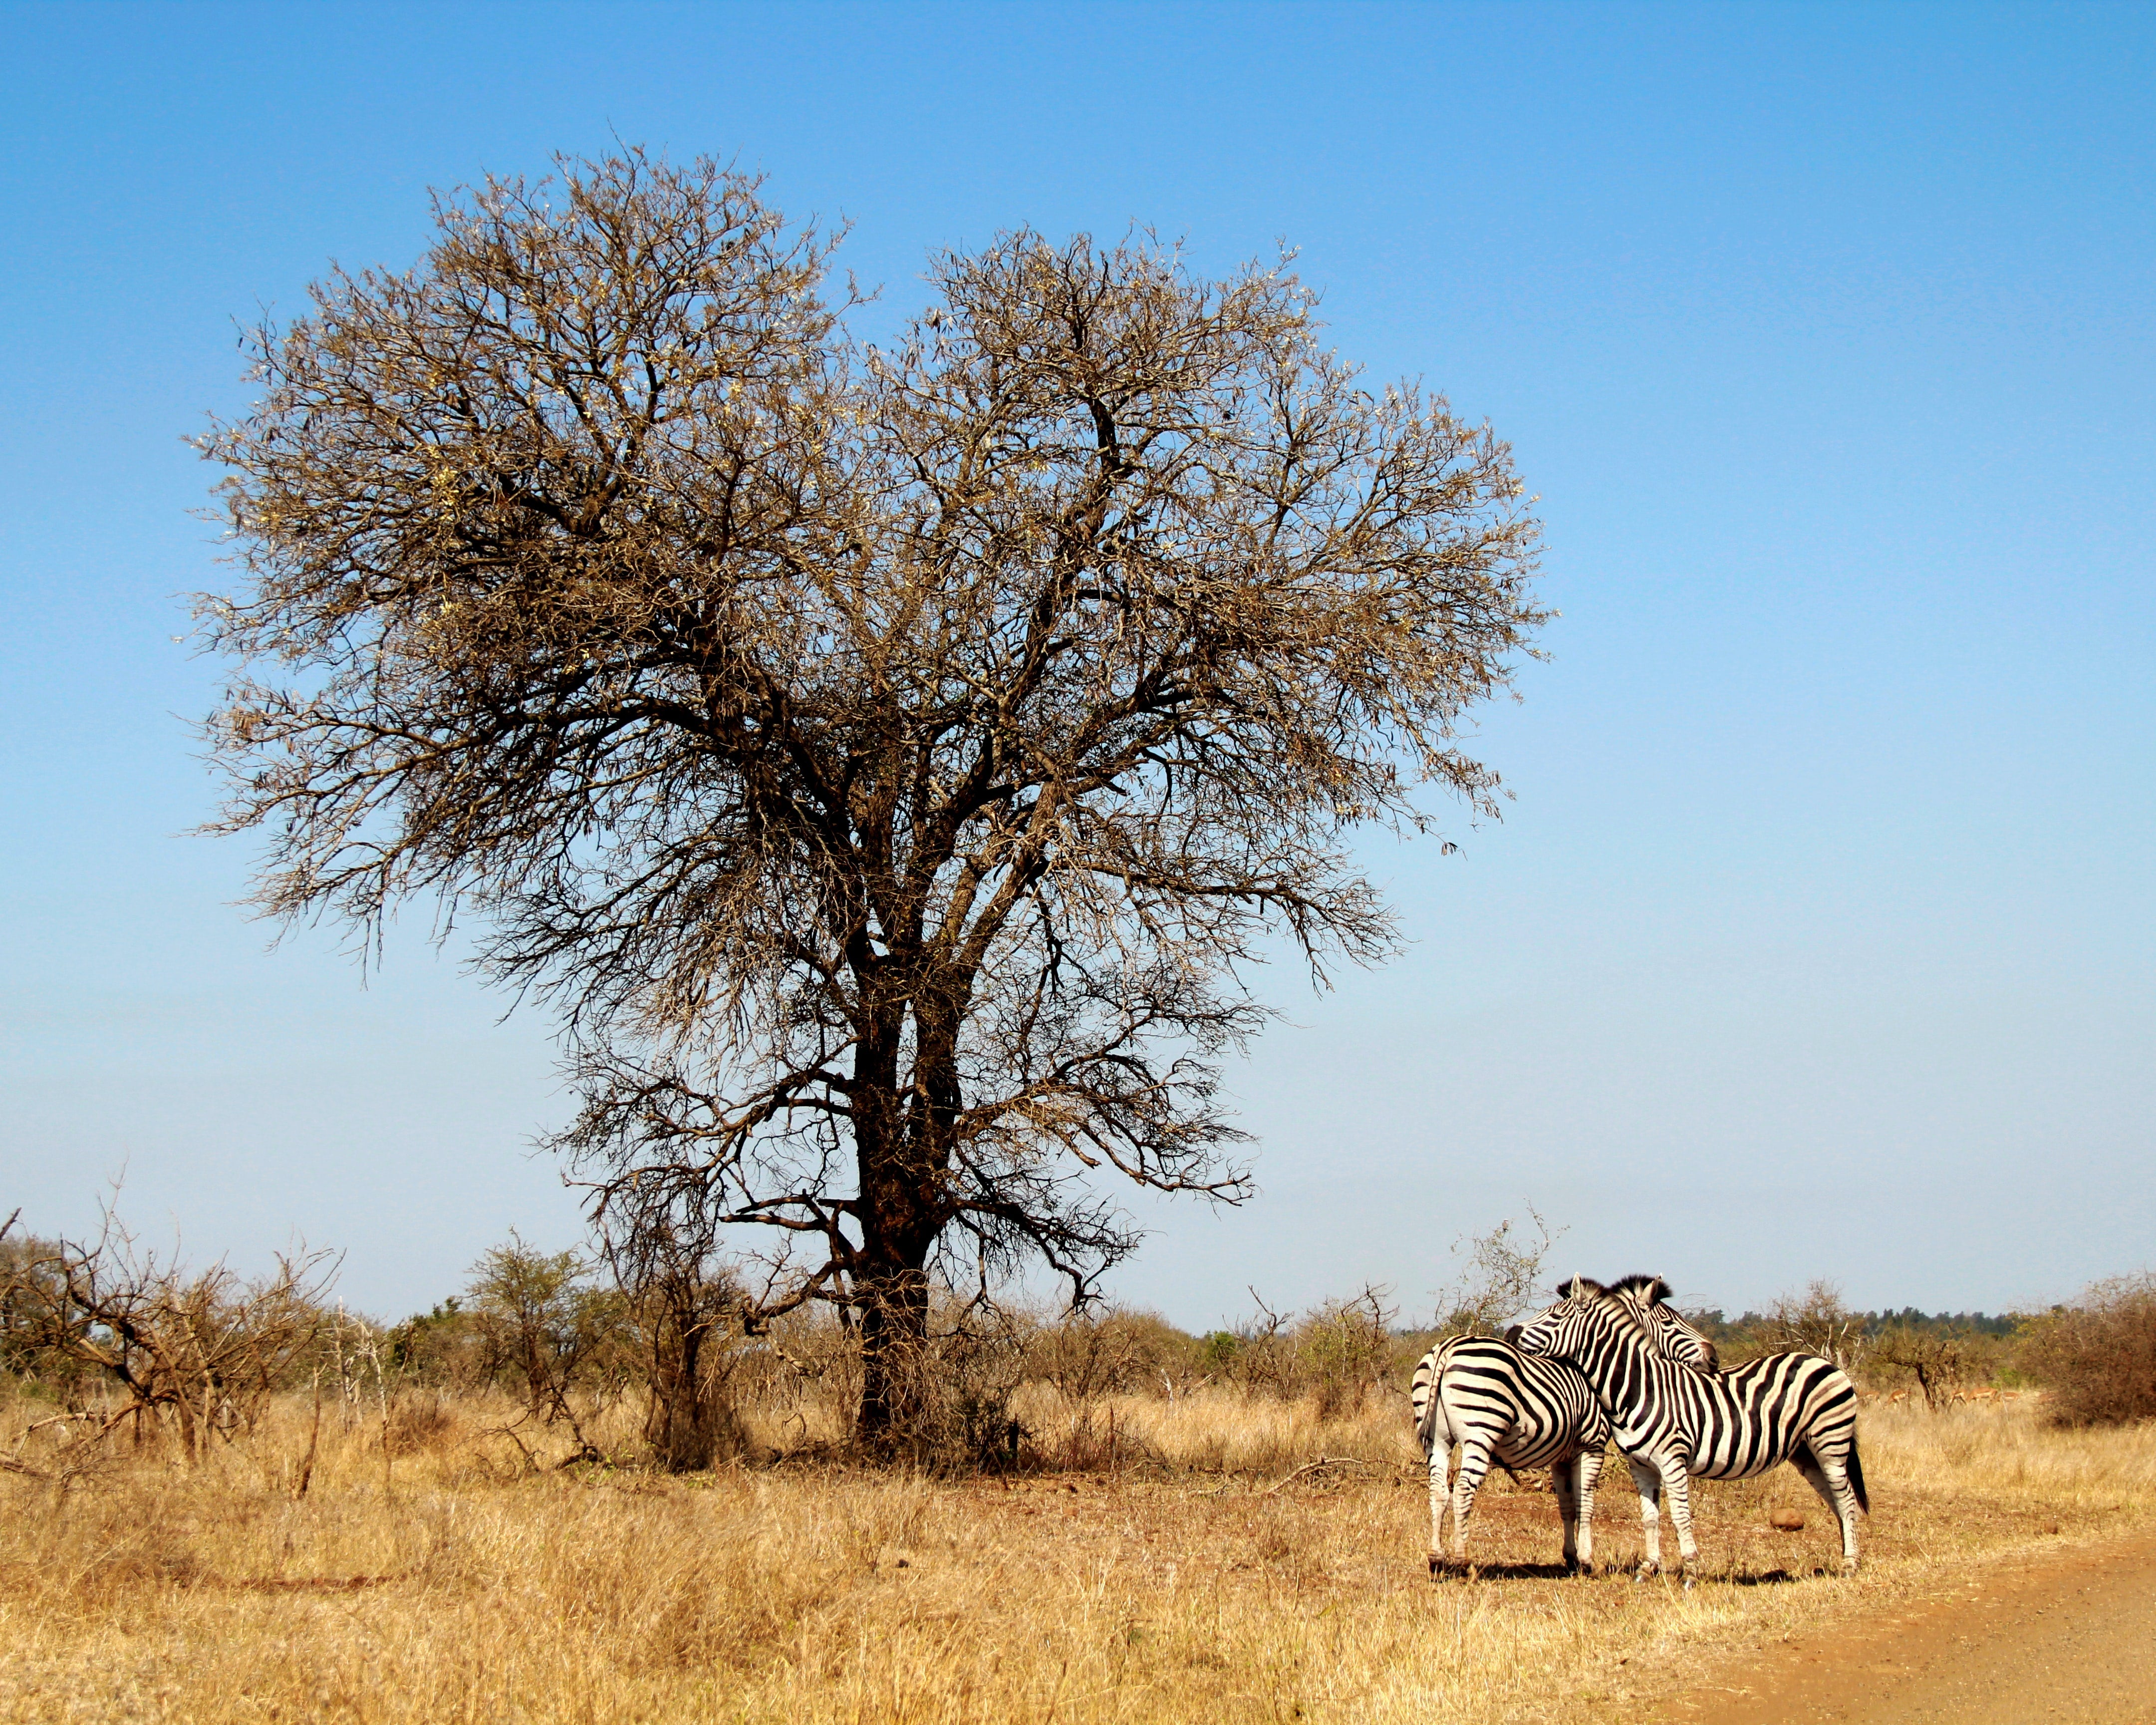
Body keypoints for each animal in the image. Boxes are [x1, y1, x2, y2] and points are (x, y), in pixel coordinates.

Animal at [1414, 1276, 1716, 1578]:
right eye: (1670, 1322)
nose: (1713, 1357)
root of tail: (1449, 1347)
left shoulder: (1560, 1456)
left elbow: (1567, 1507)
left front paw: (1571, 1558)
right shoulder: (1592, 1444)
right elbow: (1586, 1504)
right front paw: (1589, 1562)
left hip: (1437, 1439)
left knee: (1438, 1490)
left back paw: (1436, 1558)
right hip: (1481, 1433)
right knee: (1463, 1490)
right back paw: (1466, 1563)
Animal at [1500, 1276, 1871, 1587]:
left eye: (1553, 1317)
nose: (1510, 1336)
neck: (1639, 1388)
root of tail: (1826, 1363)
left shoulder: (1672, 1460)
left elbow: (1680, 1517)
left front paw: (1690, 1572)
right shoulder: (1641, 1465)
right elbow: (1649, 1517)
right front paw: (1647, 1569)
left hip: (1831, 1443)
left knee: (1847, 1500)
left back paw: (1850, 1565)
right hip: (1806, 1453)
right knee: (1838, 1502)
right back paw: (1845, 1558)